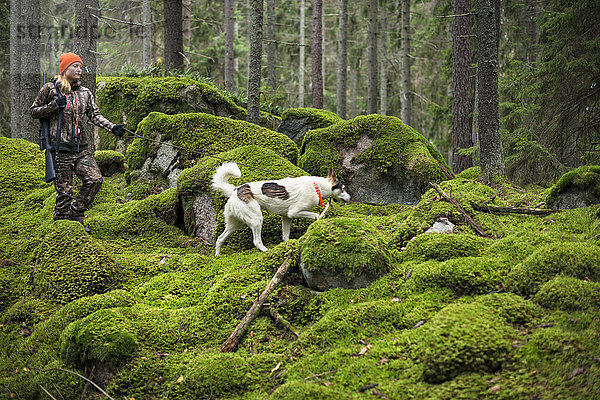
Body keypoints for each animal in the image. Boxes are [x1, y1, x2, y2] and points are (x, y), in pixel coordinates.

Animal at [212, 162, 350, 256]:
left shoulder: (287, 217)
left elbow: (285, 236)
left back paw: (218, 255)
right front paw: (318, 218)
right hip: (257, 219)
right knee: (256, 241)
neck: (317, 187)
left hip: (234, 225)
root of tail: (235, 189)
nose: (350, 198)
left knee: (220, 238)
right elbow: (315, 215)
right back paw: (265, 250)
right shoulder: (295, 212)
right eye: (343, 189)